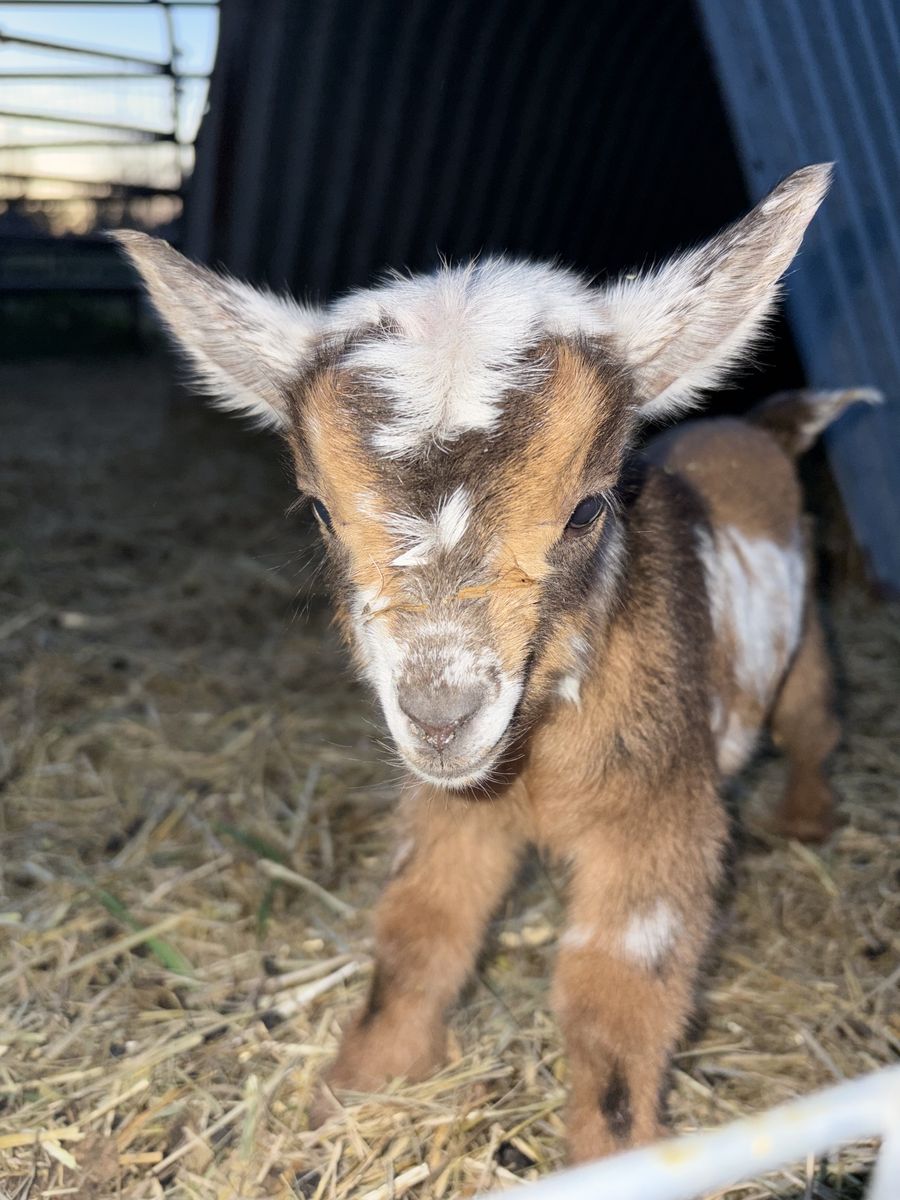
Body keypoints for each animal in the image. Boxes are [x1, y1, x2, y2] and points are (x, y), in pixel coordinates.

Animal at [117, 163, 878, 1161]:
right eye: (319, 511)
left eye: (589, 508)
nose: (440, 717)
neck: (538, 759)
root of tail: (759, 429)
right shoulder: (454, 808)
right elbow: (422, 927)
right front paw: (353, 1090)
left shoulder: (657, 814)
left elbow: (619, 987)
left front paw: (614, 1156)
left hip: (806, 643)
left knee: (815, 719)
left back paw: (807, 818)